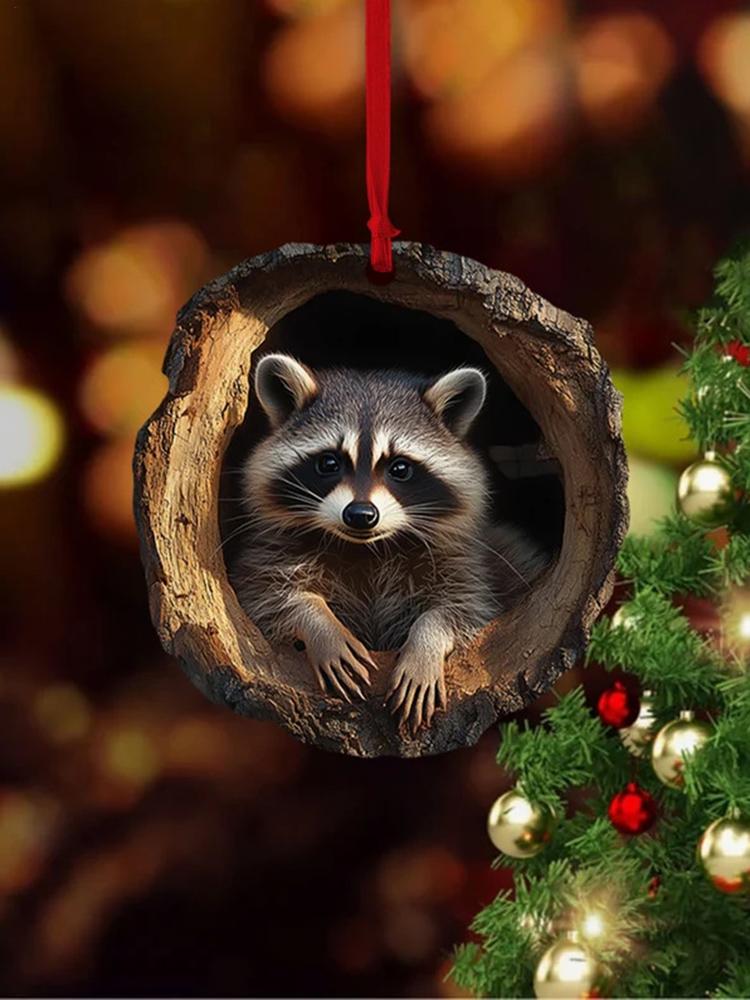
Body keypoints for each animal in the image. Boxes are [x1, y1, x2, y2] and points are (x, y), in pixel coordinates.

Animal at [228, 353, 548, 732]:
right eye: (329, 462)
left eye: (399, 468)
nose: (360, 515)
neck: (367, 547)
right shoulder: (271, 552)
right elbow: (266, 595)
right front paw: (319, 623)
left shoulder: (462, 561)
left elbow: (464, 609)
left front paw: (426, 642)